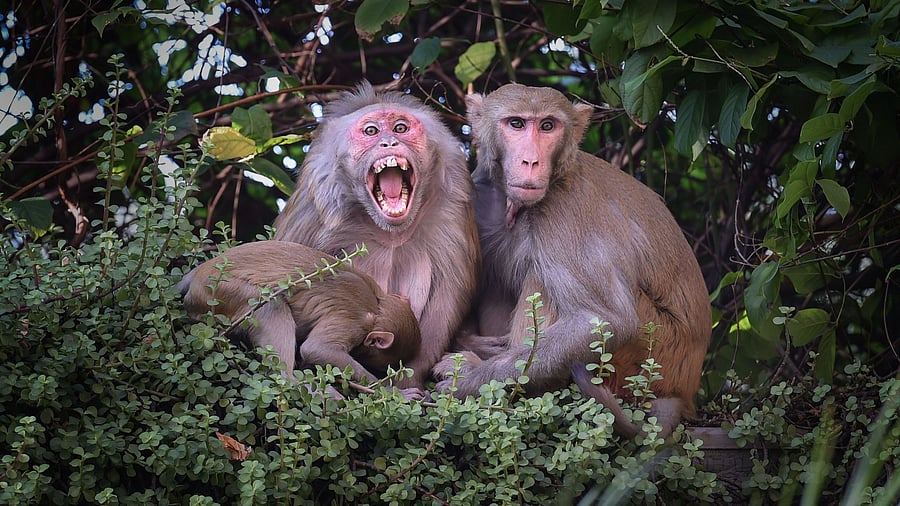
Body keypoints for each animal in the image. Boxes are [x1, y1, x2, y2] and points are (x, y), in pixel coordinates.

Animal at [178, 241, 421, 384]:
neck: (377, 305)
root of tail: (198, 273)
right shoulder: (354, 322)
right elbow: (317, 349)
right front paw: (388, 389)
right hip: (220, 290)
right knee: (271, 306)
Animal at [271, 82, 480, 390]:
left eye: (400, 128)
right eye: (371, 131)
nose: (389, 143)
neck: (388, 230)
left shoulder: (452, 201)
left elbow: (448, 294)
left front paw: (408, 383)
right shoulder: (317, 204)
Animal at [435, 84, 711, 438]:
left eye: (547, 126)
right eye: (516, 124)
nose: (531, 161)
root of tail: (685, 388)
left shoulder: (562, 210)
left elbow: (602, 319)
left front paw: (467, 381)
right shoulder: (478, 199)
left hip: (653, 353)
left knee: (543, 282)